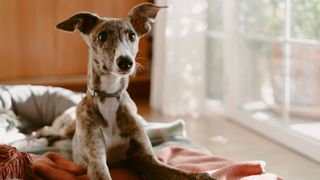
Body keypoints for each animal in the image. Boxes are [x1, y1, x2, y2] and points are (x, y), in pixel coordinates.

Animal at [55, 2, 215, 180]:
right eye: (102, 36)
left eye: (132, 36)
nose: (125, 62)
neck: (110, 95)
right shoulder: (96, 158)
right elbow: (101, 170)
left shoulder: (146, 158)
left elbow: (179, 172)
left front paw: (205, 175)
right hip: (64, 128)